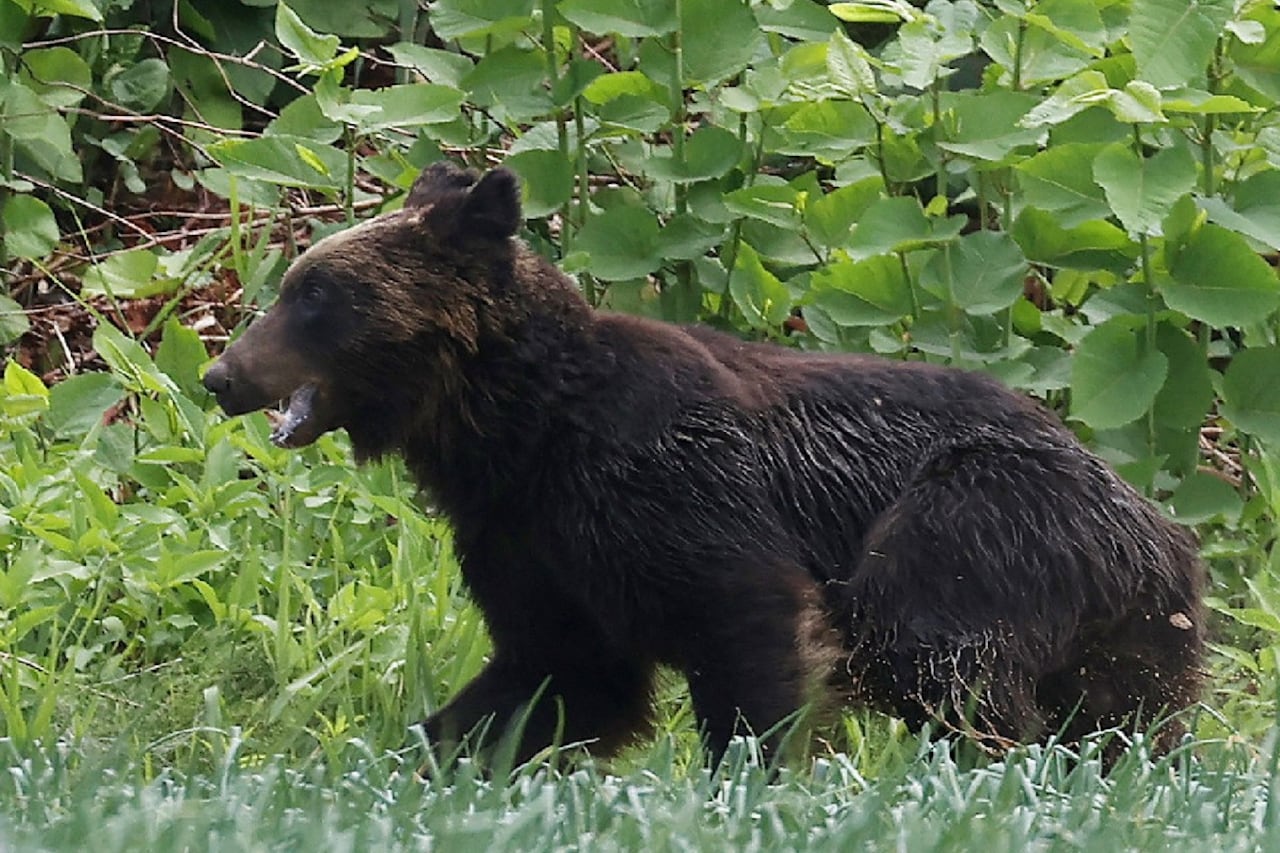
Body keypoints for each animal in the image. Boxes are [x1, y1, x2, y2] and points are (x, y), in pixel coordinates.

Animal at [202, 162, 1205, 766]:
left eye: (315, 294)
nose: (220, 373)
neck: (516, 430)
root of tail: (1158, 521)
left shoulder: (670, 485)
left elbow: (747, 623)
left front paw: (750, 774)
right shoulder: (527, 540)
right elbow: (556, 674)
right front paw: (426, 753)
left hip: (983, 514)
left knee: (930, 645)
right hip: (1131, 627)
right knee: (1127, 716)